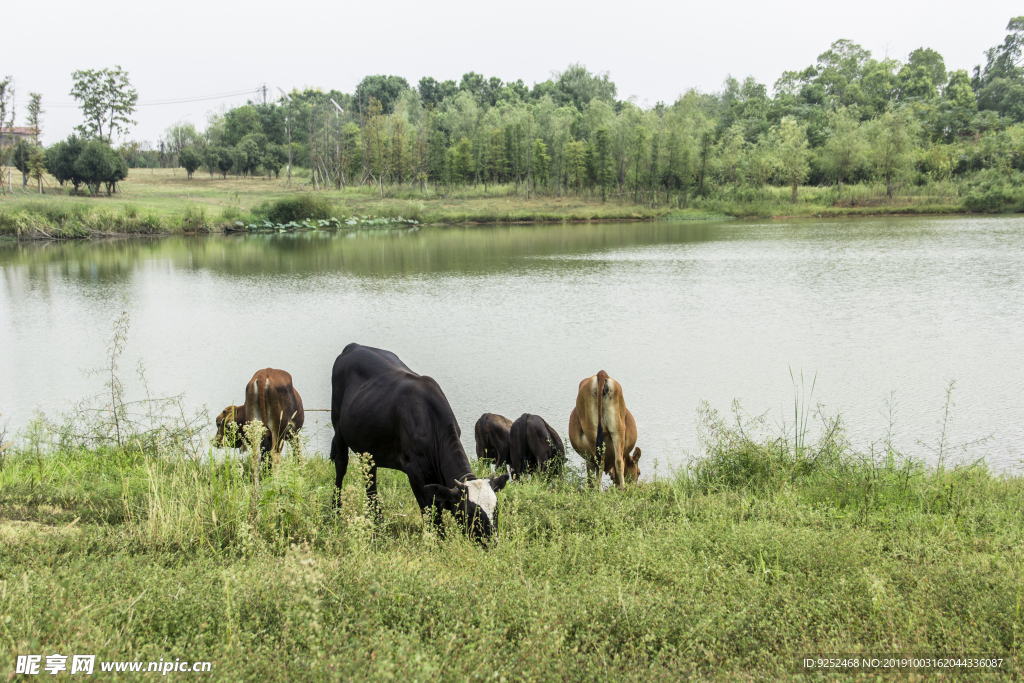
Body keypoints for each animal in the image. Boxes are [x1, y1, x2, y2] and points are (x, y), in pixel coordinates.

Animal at [329, 344, 509, 540]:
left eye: (496, 510)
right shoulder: (414, 473)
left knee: (370, 476)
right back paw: (335, 510)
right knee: (341, 465)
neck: (431, 421)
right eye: (469, 513)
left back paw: (377, 521)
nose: (493, 542)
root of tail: (354, 346)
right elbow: (431, 516)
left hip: (368, 445)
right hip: (338, 425)